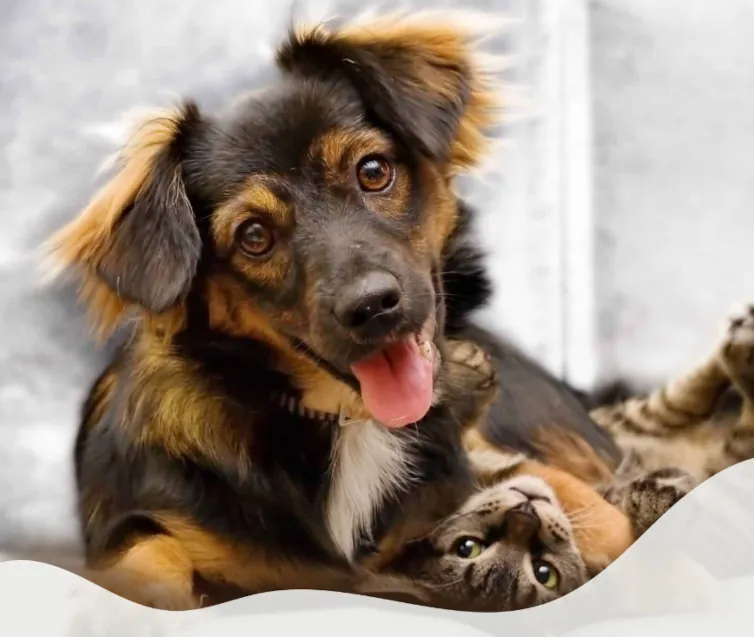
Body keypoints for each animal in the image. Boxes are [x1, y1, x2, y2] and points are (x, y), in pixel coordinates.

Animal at [44, 14, 624, 608]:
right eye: (254, 236)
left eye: (373, 171)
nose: (372, 306)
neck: (349, 420)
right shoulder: (149, 522)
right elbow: (145, 557)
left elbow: (603, 516)